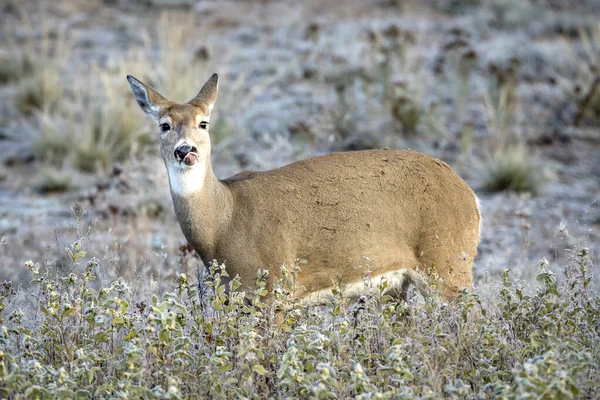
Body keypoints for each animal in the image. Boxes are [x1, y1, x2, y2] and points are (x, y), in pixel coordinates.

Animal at [127, 72, 482, 304]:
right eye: (164, 125)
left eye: (204, 123)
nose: (186, 150)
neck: (225, 221)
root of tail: (470, 194)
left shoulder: (276, 286)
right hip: (397, 286)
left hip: (448, 263)